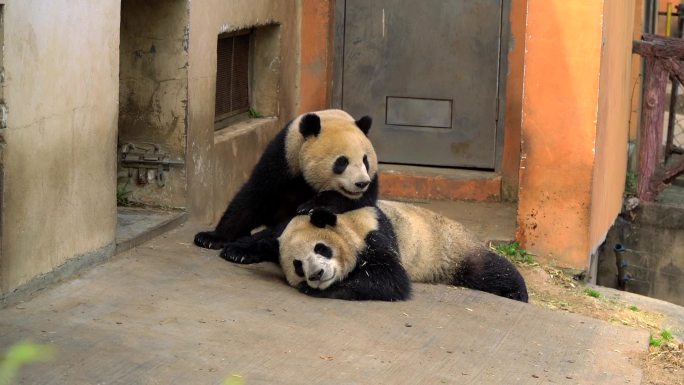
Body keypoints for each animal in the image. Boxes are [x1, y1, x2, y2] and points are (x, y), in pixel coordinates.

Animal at [194, 107, 380, 260]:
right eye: (342, 162)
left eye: (365, 160)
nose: (361, 183)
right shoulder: (283, 160)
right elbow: (253, 197)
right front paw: (211, 238)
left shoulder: (366, 189)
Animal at [224, 200, 528, 302]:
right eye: (298, 265)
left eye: (322, 248)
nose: (316, 274)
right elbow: (270, 235)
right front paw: (236, 250)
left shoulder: (375, 233)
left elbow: (389, 277)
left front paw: (319, 289)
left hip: (451, 247)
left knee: (490, 270)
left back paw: (517, 293)